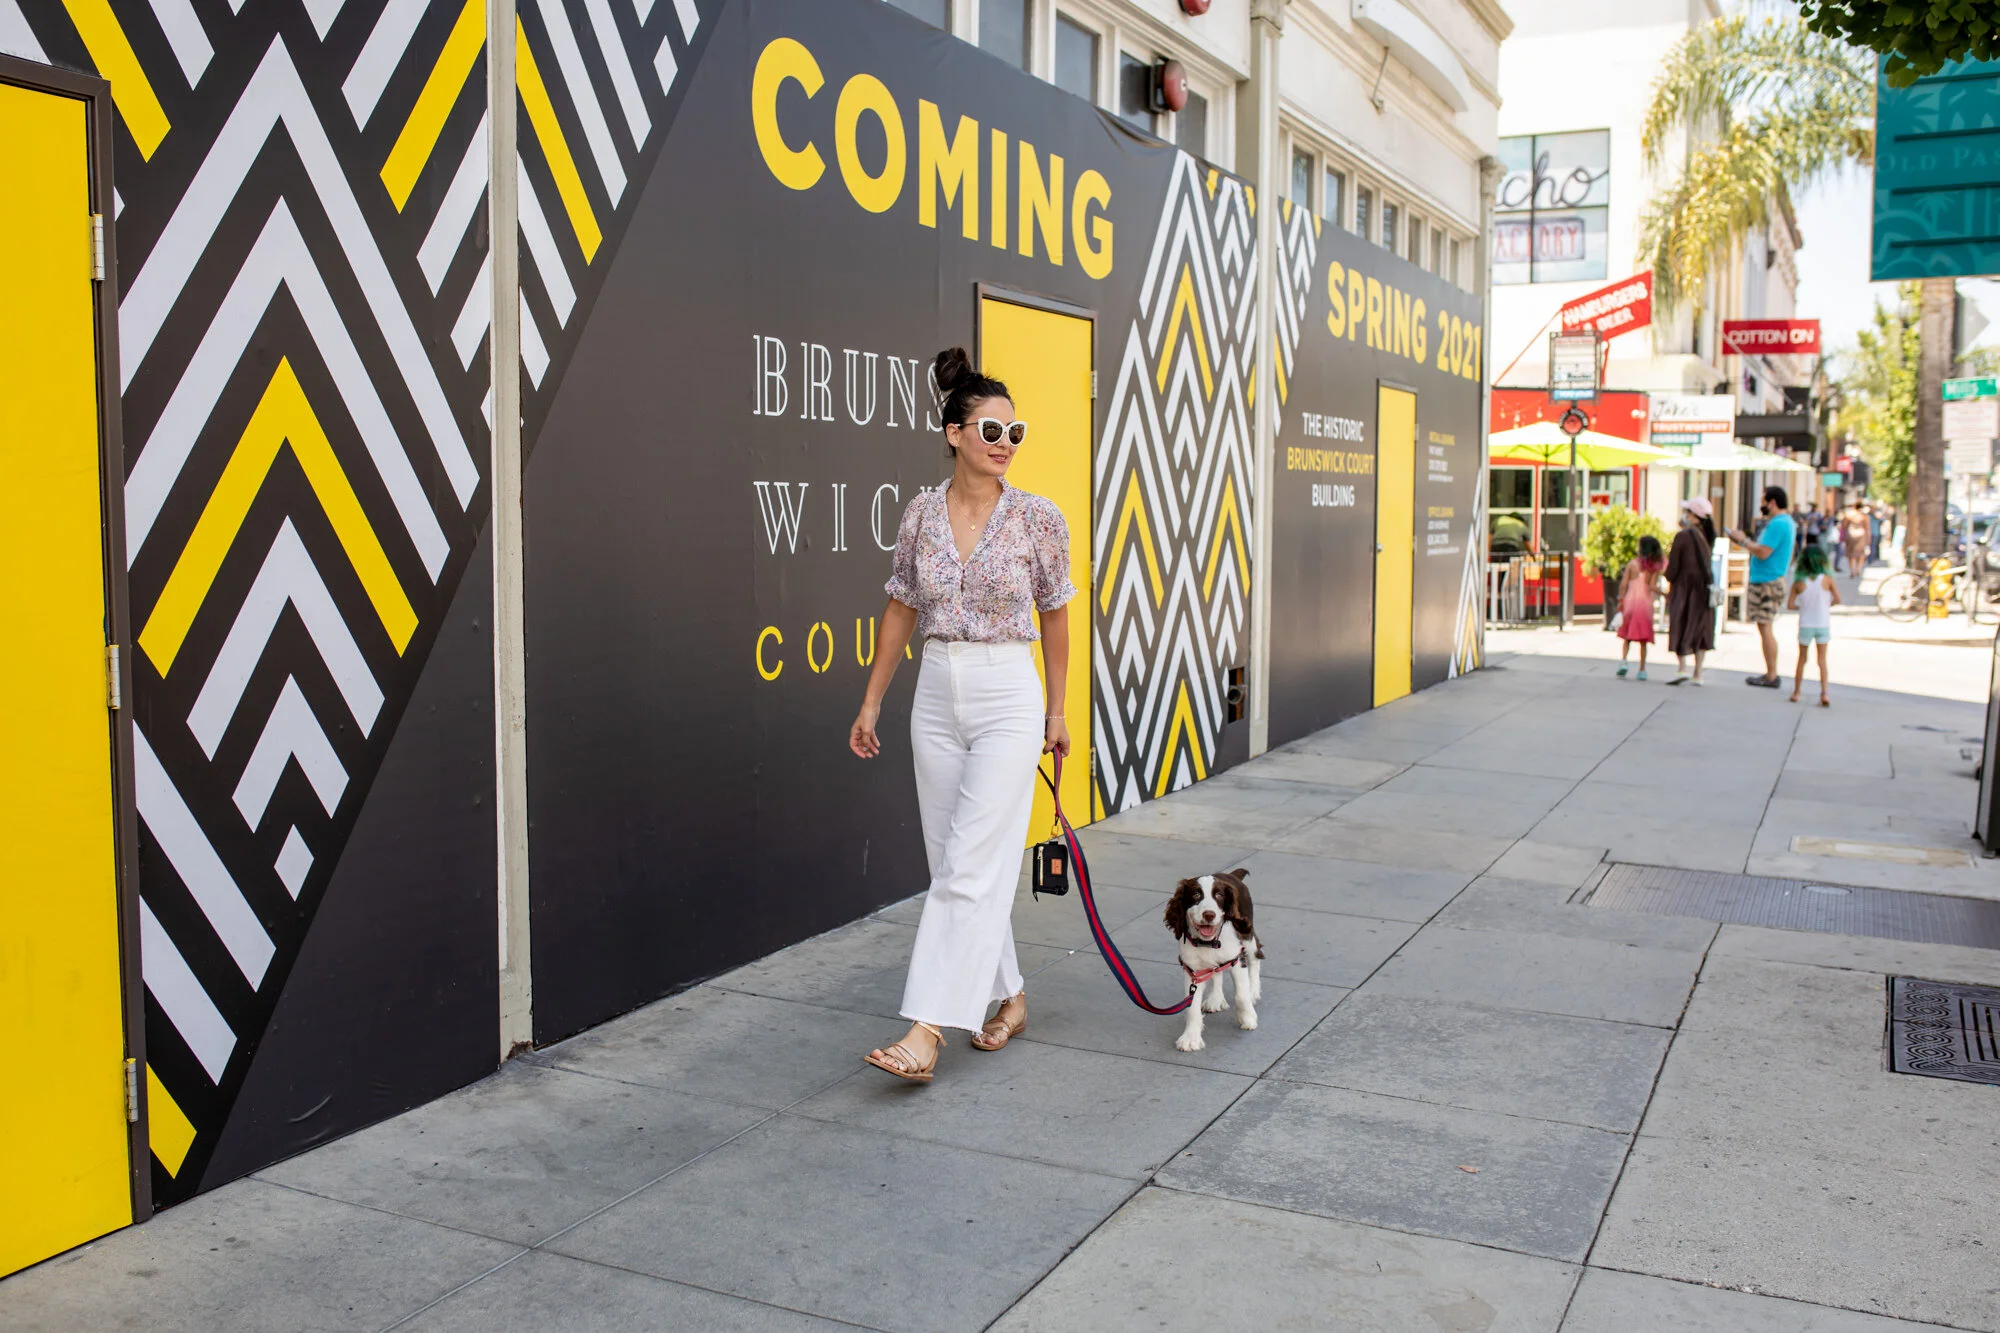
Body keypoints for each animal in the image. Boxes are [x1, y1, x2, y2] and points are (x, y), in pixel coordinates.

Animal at [1162, 870, 1262, 1051]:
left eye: (1219, 895)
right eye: (1196, 894)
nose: (1209, 914)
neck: (1208, 943)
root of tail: (1231, 874)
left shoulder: (1236, 958)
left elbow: (1241, 995)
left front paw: (1248, 1018)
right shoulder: (1193, 970)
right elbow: (1192, 1007)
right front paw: (1191, 1038)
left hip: (1246, 932)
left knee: (1255, 955)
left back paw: (1253, 991)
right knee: (1216, 971)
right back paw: (1216, 999)